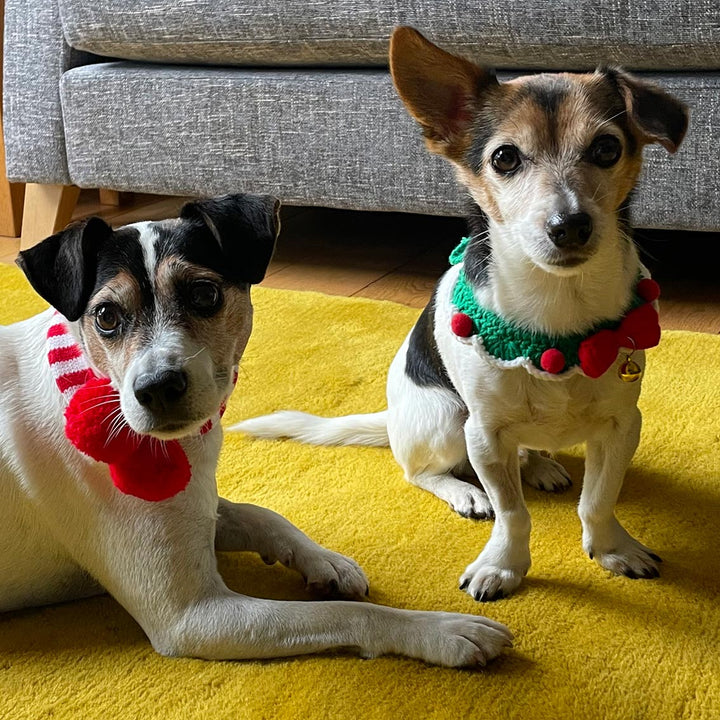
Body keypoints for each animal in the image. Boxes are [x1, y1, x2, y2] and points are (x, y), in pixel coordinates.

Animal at [2, 193, 516, 668]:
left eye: (203, 294)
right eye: (106, 316)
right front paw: (443, 631)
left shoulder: (202, 507)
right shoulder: (192, 616)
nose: (157, 388)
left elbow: (261, 515)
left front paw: (323, 561)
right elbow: (349, 614)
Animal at [233, 28, 688, 600]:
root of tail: (392, 418)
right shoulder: (484, 433)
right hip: (449, 419)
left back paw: (540, 465)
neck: (558, 302)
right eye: (505, 159)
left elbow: (598, 500)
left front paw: (612, 549)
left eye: (607, 148)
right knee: (421, 472)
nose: (569, 225)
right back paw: (465, 491)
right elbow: (512, 513)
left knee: (525, 455)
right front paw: (504, 564)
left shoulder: (622, 425)